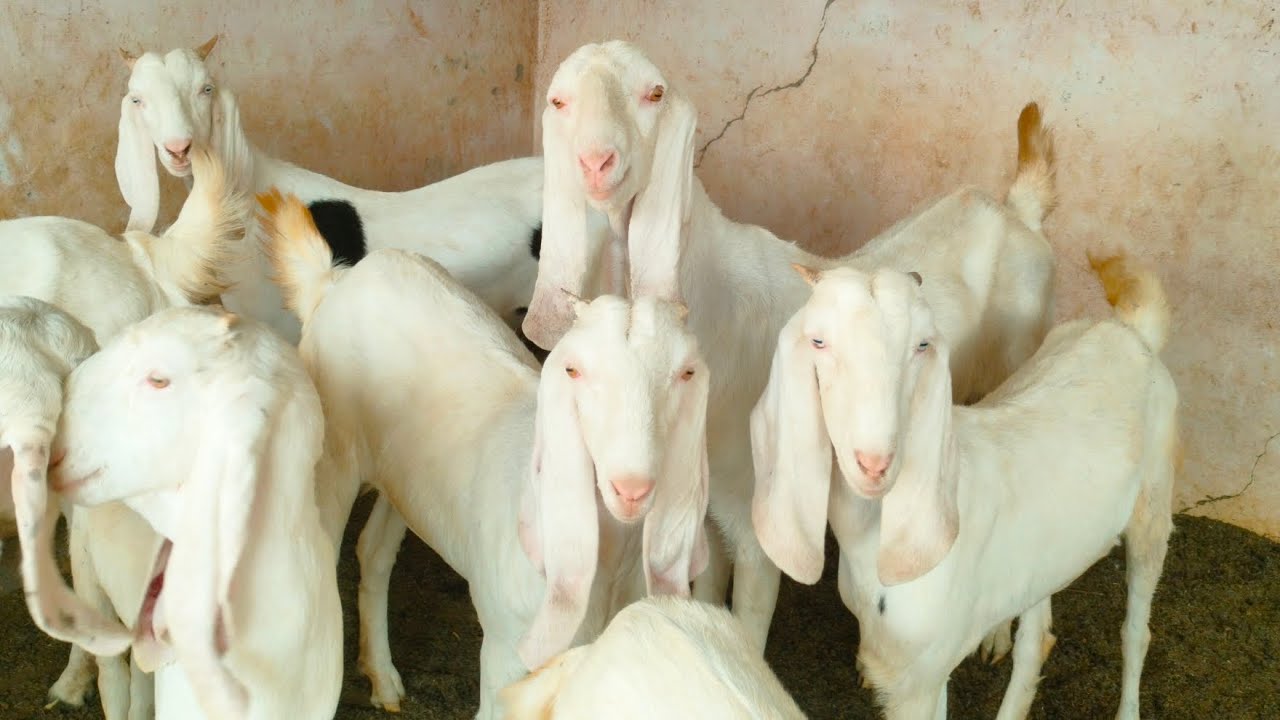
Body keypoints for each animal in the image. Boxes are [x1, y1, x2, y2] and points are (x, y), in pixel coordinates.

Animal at [258, 191, 712, 718]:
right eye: (573, 369)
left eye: (687, 372)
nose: (632, 486)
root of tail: (334, 280)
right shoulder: (504, 655)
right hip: (333, 453)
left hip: (408, 476)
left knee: (373, 549)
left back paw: (384, 679)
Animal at [521, 40, 1057, 654]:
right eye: (559, 101)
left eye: (653, 93)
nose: (596, 163)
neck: (715, 304)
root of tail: (1017, 211)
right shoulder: (709, 510)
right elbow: (708, 596)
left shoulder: (760, 518)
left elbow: (750, 621)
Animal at [750, 253, 1177, 719]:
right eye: (818, 341)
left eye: (922, 345)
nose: (875, 463)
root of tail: (1131, 333)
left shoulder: (921, 677)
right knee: (1037, 639)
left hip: (1154, 505)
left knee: (1136, 631)